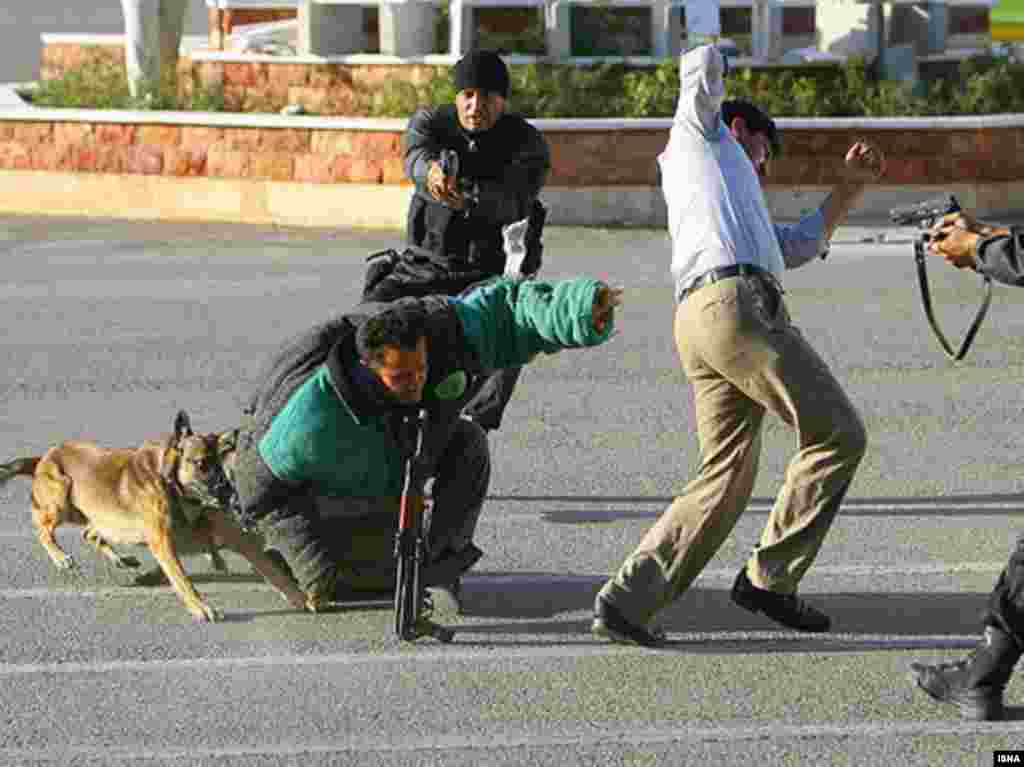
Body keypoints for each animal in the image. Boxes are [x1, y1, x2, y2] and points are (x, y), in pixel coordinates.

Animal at [0, 409, 311, 618]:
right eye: (200, 464)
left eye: (221, 467)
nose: (229, 496)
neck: (173, 485)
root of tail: (44, 457)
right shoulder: (163, 542)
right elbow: (183, 579)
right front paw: (201, 607)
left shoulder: (236, 538)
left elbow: (271, 569)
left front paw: (302, 598)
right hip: (61, 498)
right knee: (42, 528)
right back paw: (60, 556)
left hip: (93, 515)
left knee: (90, 532)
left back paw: (120, 558)